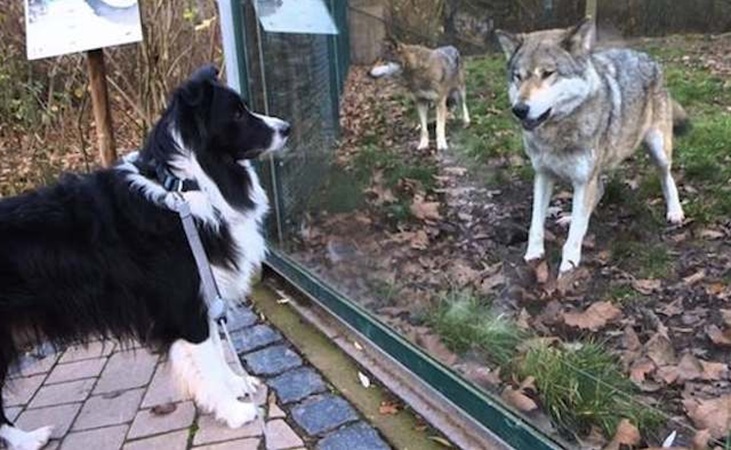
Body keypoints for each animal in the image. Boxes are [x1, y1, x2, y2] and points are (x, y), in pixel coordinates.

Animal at [495, 18, 688, 275]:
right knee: (599, 191)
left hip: (658, 150)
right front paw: (533, 254)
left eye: (547, 73)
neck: (557, 133)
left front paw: (568, 265)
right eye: (518, 76)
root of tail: (647, 57)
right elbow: (537, 223)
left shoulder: (583, 179)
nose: (519, 109)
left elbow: (576, 231)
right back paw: (569, 216)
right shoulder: (544, 174)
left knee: (667, 178)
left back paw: (675, 211)